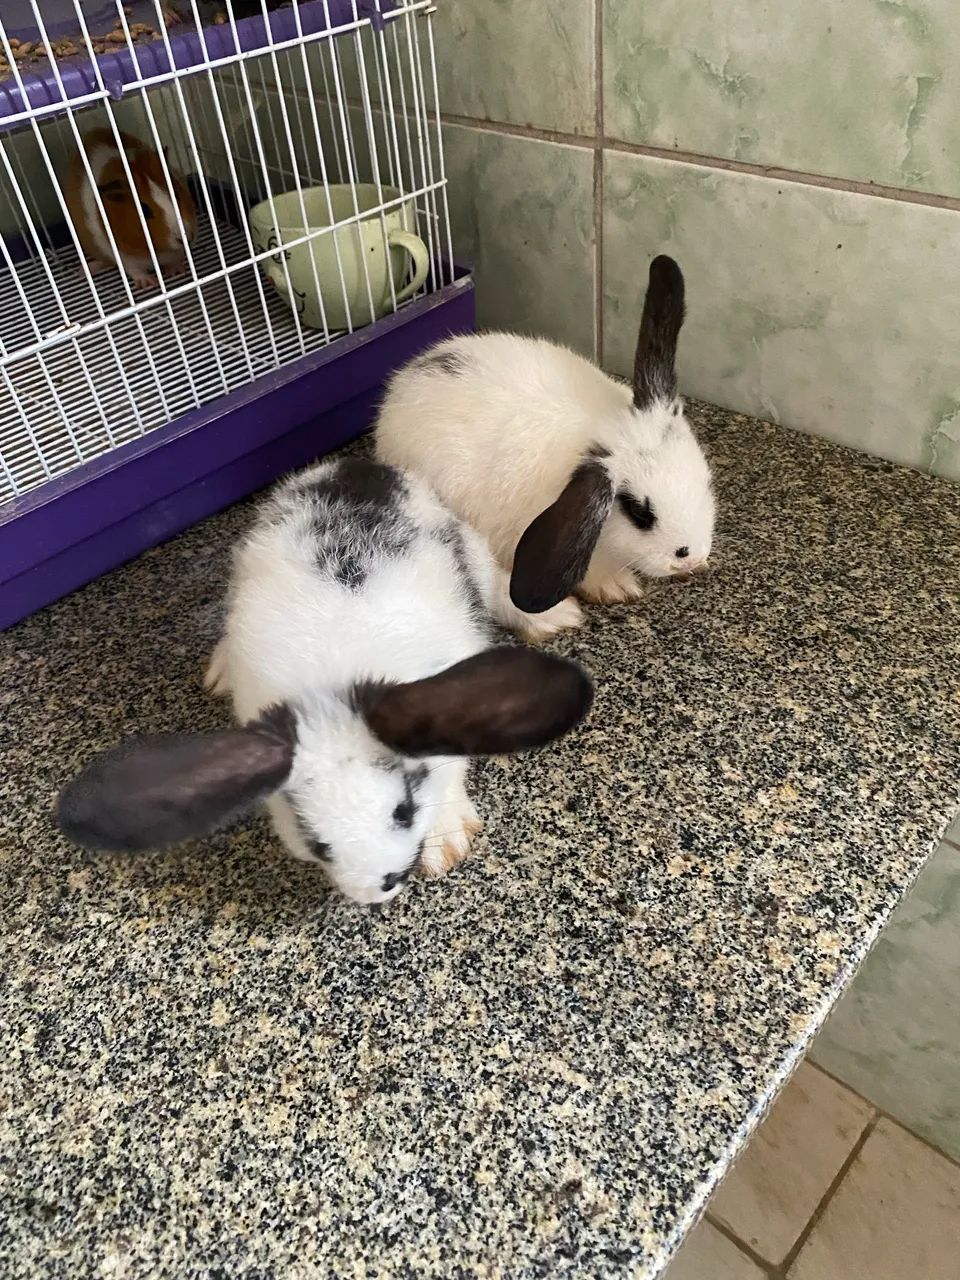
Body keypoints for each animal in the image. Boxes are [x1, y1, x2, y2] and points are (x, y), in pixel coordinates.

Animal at [57, 457, 594, 907]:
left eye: (403, 811)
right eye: (317, 841)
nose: (376, 890)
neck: (333, 688)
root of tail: (354, 466)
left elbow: (451, 774)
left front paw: (447, 845)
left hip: (473, 553)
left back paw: (552, 618)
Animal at [65, 127, 197, 290]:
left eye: (176, 194)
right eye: (144, 210)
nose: (186, 237)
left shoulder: (176, 253)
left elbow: (175, 259)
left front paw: (176, 271)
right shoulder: (123, 257)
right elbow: (135, 270)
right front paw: (149, 283)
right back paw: (83, 271)